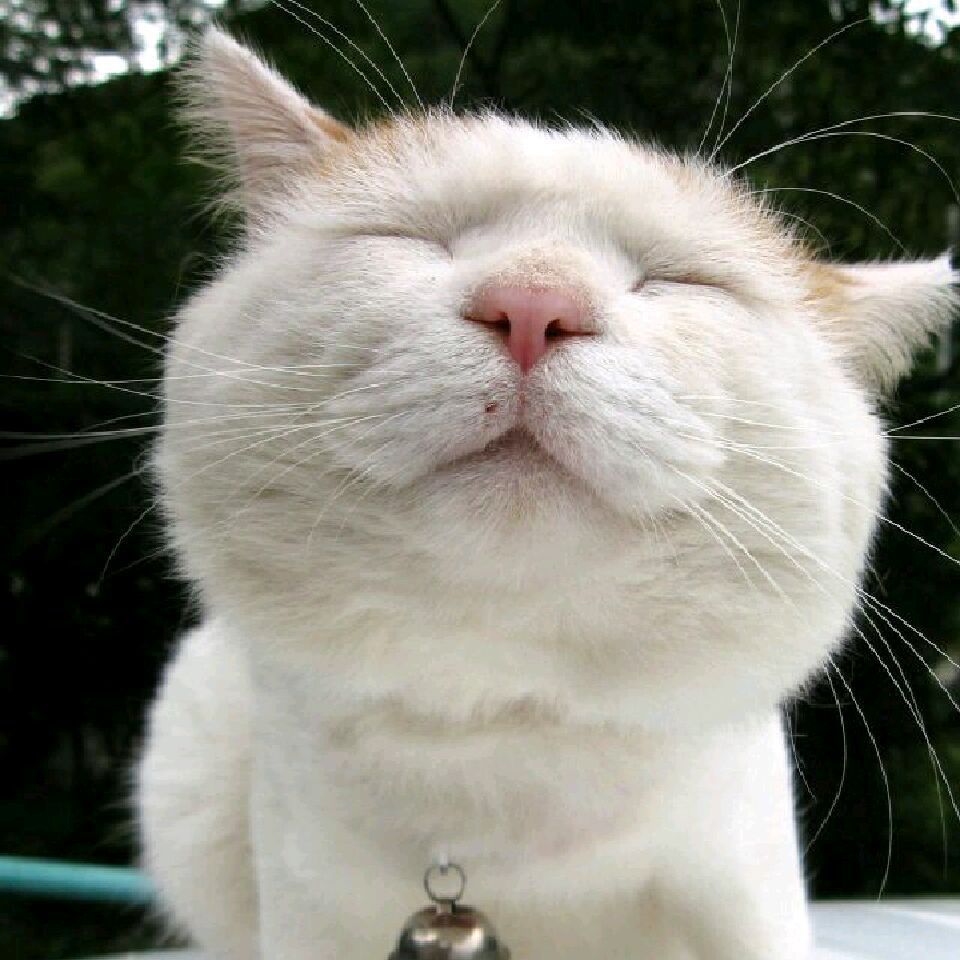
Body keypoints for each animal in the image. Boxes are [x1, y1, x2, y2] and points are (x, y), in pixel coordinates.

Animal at [135, 26, 958, 960]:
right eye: (418, 239)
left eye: (678, 282)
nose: (533, 303)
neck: (504, 720)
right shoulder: (305, 900)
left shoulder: (747, 888)